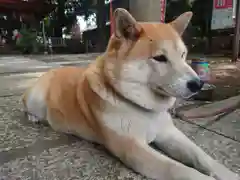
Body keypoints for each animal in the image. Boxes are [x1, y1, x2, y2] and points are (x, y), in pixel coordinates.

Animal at [22, 8, 238, 180]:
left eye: (183, 55)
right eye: (160, 58)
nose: (198, 84)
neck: (143, 107)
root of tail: (53, 70)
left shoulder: (169, 133)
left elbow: (202, 156)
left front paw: (228, 174)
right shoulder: (132, 148)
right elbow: (178, 169)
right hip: (35, 98)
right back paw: (33, 117)